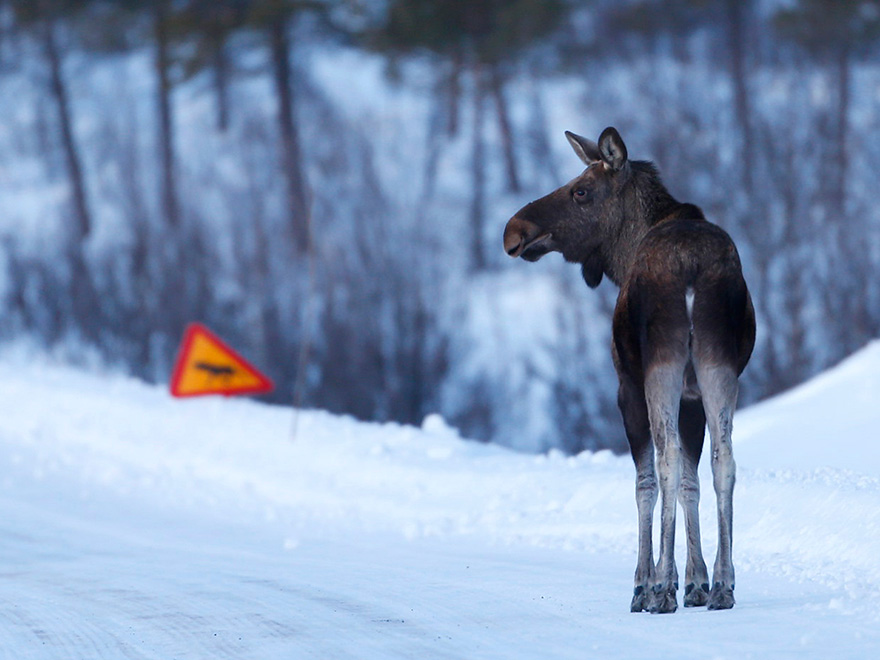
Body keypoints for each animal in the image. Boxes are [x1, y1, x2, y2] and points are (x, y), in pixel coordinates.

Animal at [502, 127, 756, 612]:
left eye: (580, 190)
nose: (514, 230)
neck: (622, 257)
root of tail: (692, 268)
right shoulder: (692, 393)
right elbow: (693, 482)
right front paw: (695, 582)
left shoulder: (626, 386)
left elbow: (645, 482)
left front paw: (649, 582)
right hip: (717, 365)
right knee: (725, 460)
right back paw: (724, 584)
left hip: (660, 367)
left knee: (665, 460)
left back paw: (659, 590)